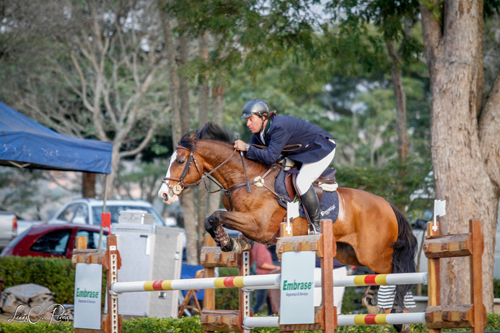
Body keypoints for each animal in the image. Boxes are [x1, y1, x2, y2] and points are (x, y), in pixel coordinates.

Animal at [157, 121, 418, 320]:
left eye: (180, 161)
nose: (164, 194)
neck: (245, 178)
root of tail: (388, 205)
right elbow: (212, 221)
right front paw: (230, 242)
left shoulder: (260, 226)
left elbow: (216, 216)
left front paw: (227, 241)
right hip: (349, 253)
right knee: (380, 273)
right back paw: (374, 301)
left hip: (373, 253)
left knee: (395, 270)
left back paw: (396, 310)